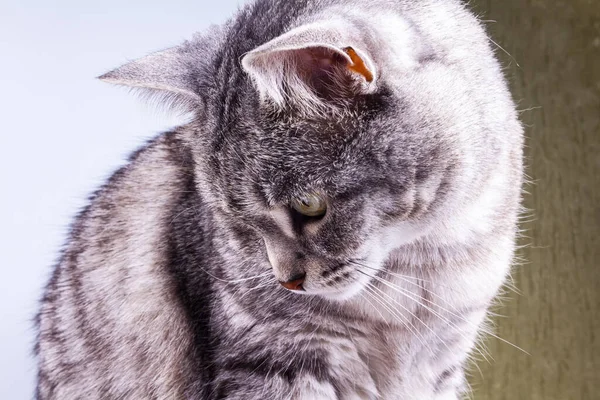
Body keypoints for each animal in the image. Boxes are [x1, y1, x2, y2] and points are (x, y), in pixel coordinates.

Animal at [35, 0, 524, 400]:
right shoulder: (275, 361)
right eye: (237, 221)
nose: (287, 282)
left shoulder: (442, 363)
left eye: (309, 206)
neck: (426, 265)